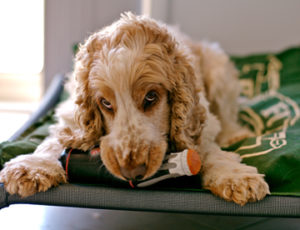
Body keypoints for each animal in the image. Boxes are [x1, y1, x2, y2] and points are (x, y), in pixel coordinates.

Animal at [0, 12, 268, 205]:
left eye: (151, 97)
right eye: (105, 103)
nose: (132, 172)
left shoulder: (201, 117)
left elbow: (207, 148)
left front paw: (236, 177)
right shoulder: (70, 114)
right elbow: (56, 140)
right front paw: (32, 168)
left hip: (219, 70)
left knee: (229, 115)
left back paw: (235, 134)